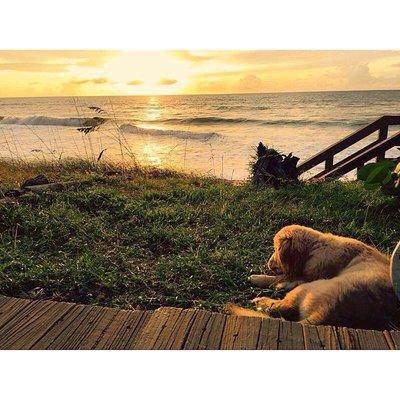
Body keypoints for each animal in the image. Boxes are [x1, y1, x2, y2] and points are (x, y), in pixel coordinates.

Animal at [227, 223, 400, 330]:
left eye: (276, 249)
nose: (269, 264)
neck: (315, 248)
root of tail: (328, 311)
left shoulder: (309, 276)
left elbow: (282, 277)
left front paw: (257, 277)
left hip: (307, 288)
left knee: (282, 306)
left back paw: (261, 301)